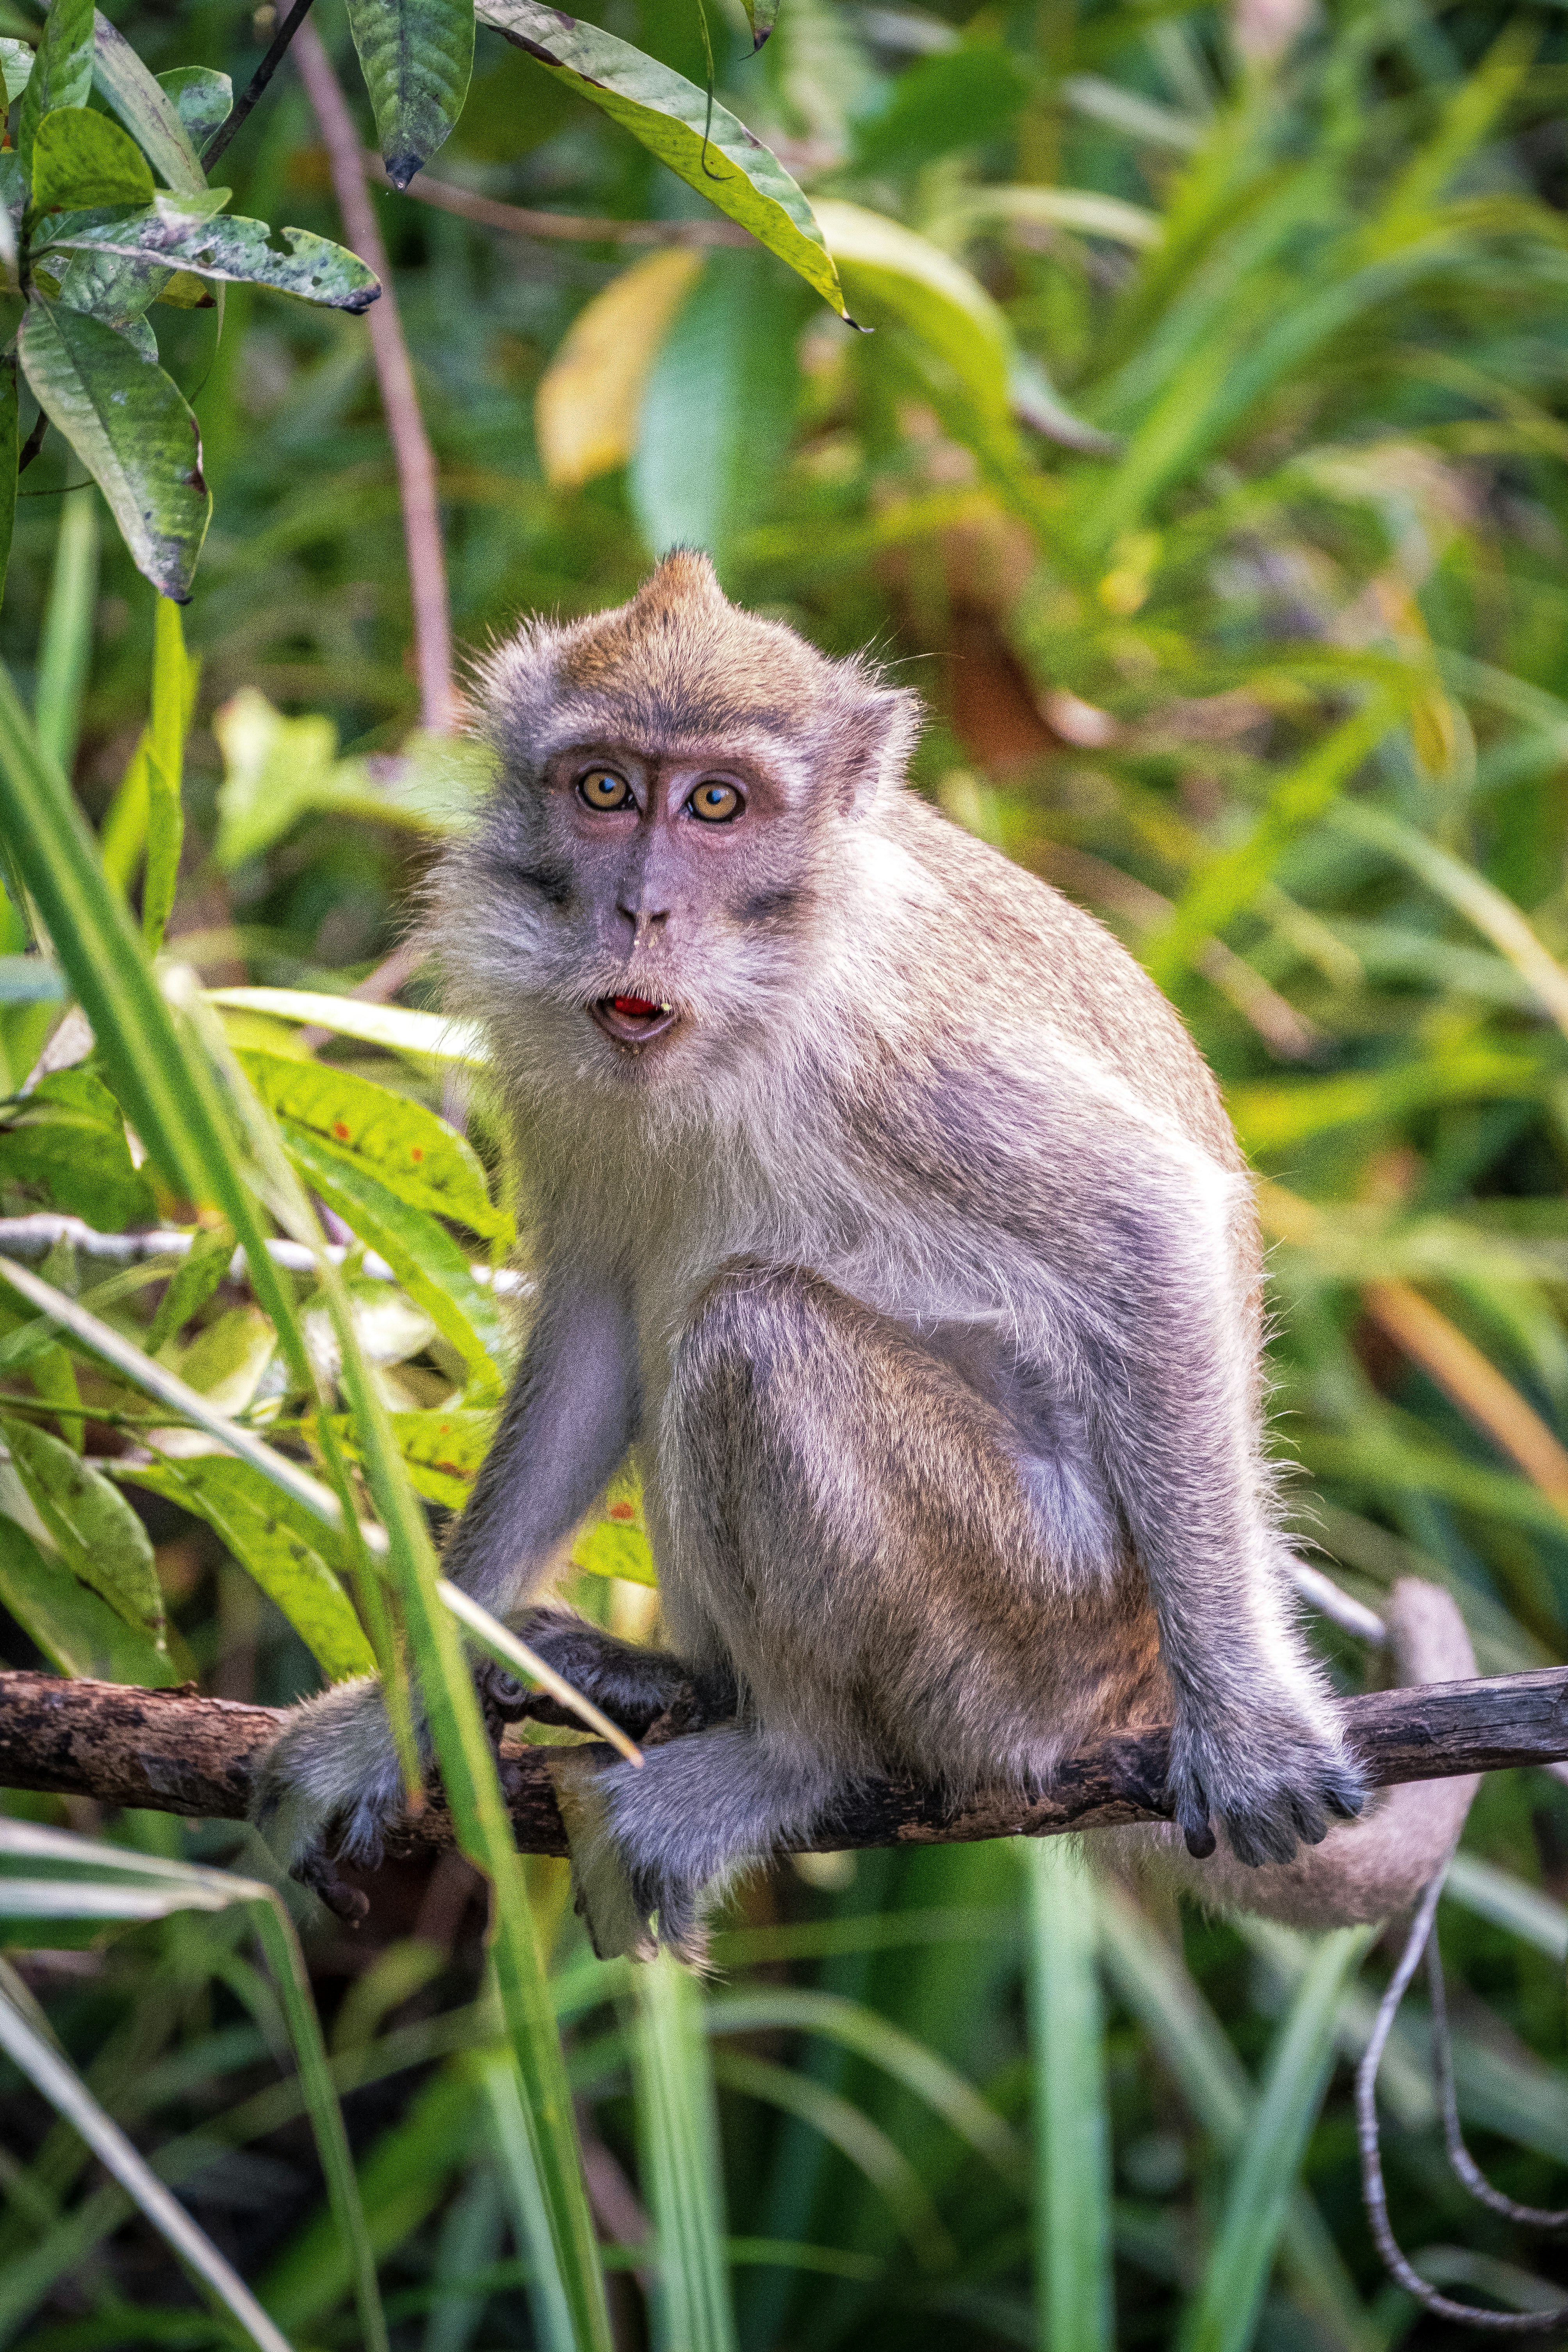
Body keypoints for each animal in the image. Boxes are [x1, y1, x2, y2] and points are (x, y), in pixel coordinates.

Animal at [251, 555, 1476, 1966]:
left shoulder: (893, 1042)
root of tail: (1118, 1687)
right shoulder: (560, 1069)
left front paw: (1246, 1724)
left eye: (717, 803)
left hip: (1025, 1628)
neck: (751, 999)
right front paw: (406, 1711)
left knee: (755, 1333)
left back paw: (796, 1752)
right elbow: (594, 1338)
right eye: (605, 790)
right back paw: (679, 1682)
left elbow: (1151, 1222)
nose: (640, 908)